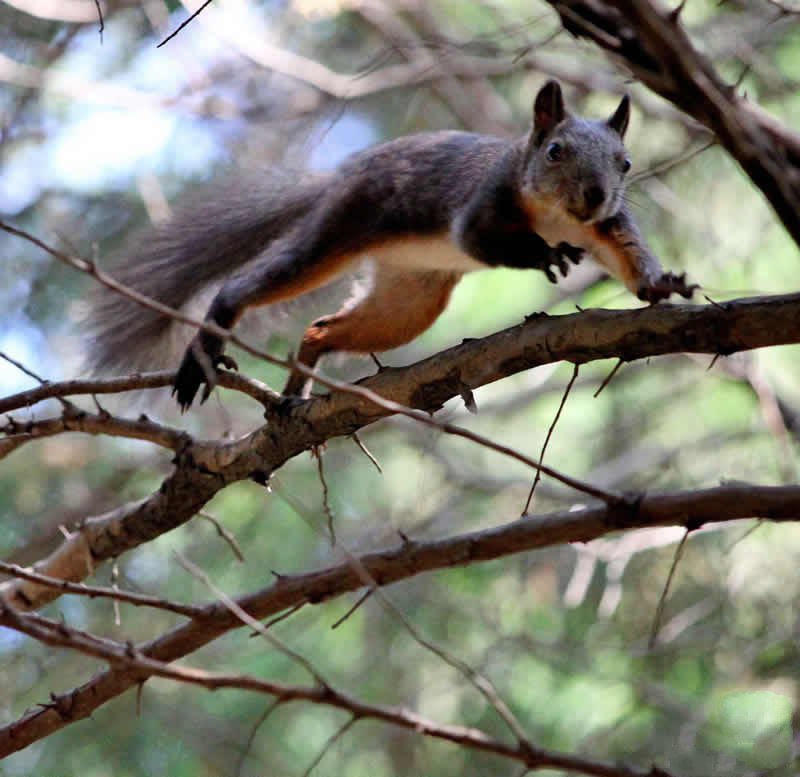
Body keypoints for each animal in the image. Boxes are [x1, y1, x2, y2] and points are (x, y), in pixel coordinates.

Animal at [87, 81, 692, 410]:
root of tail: (342, 178)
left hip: (410, 299)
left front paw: (661, 282)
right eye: (555, 152)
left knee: (324, 328)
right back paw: (210, 347)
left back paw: (296, 387)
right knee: (244, 285)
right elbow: (479, 239)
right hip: (335, 235)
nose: (595, 195)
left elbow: (627, 259)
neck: (554, 216)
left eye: (625, 163)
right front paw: (546, 255)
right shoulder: (483, 205)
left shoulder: (609, 227)